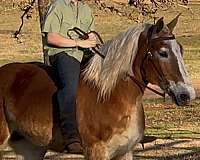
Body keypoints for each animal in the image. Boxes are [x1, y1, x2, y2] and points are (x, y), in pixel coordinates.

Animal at [0, 15, 195, 160]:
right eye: (163, 52)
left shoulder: (125, 152)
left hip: (30, 147)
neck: (112, 95)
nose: (187, 94)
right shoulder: (97, 151)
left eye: (181, 50)